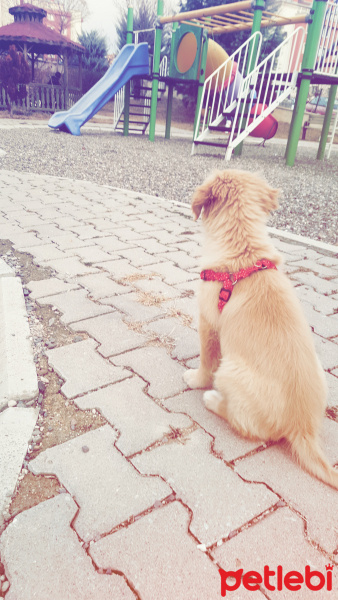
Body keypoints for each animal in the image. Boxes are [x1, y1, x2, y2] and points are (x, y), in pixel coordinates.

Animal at [185, 168, 338, 488]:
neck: (243, 248)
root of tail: (303, 428)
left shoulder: (208, 322)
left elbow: (206, 360)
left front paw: (196, 379)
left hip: (230, 370)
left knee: (243, 423)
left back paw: (213, 400)